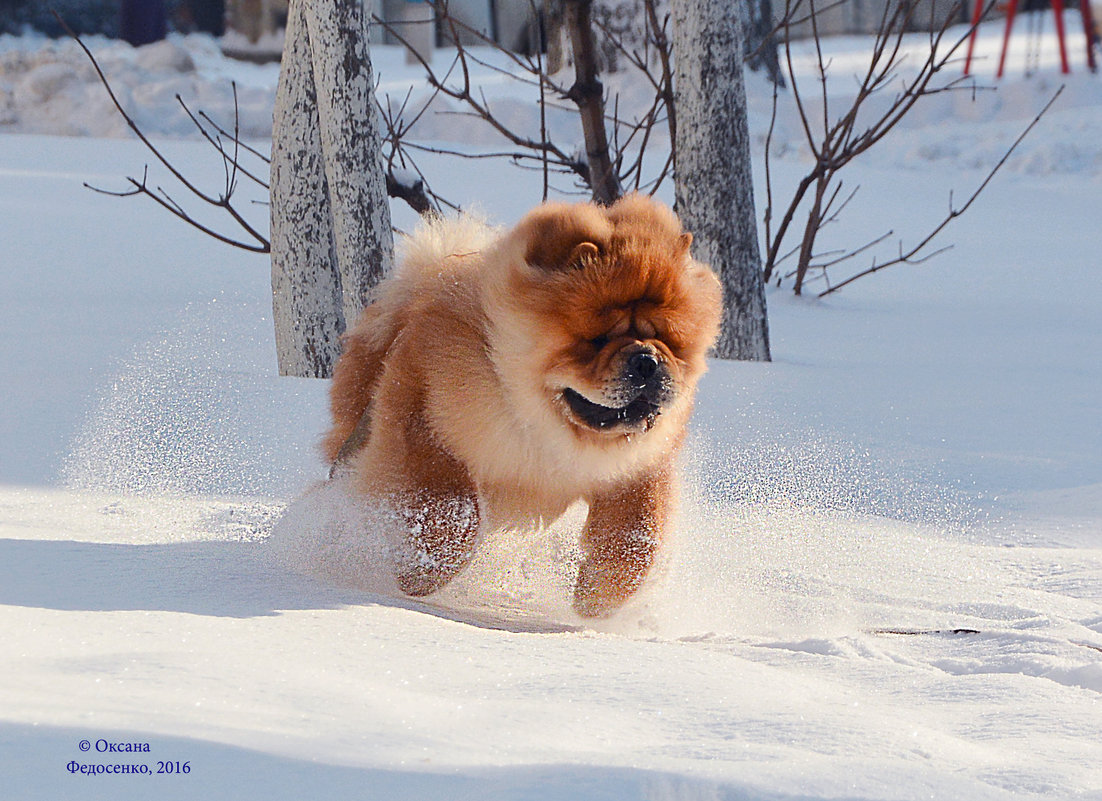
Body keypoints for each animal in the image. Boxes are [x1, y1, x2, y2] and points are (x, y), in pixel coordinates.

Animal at [323, 193, 722, 621]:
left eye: (668, 340)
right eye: (596, 340)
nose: (647, 360)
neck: (543, 422)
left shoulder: (638, 467)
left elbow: (636, 534)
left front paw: (596, 597)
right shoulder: (424, 412)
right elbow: (449, 504)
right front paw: (423, 572)